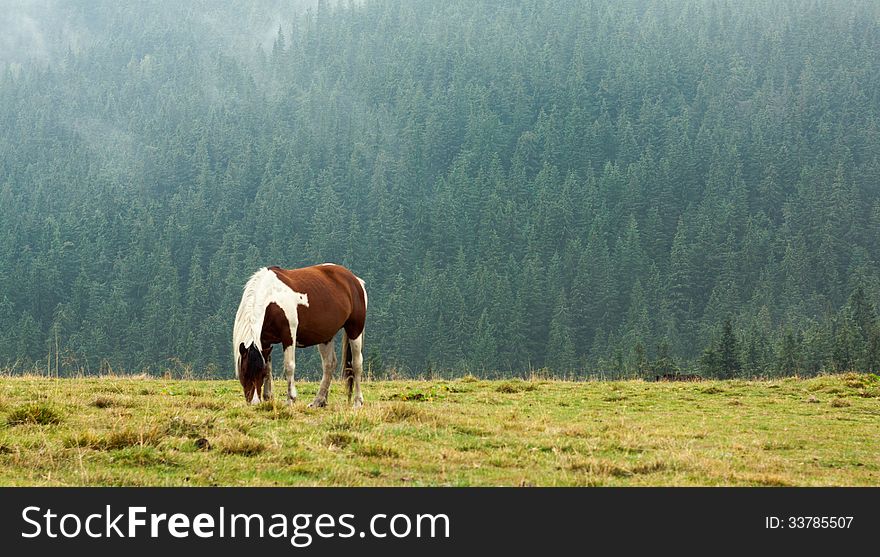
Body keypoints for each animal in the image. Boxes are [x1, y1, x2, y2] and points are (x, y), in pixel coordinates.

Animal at [230, 262, 368, 406]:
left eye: (259, 374)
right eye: (244, 373)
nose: (254, 403)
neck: (271, 298)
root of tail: (355, 280)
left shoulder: (288, 336)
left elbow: (289, 366)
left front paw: (290, 399)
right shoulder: (265, 341)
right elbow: (268, 367)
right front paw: (268, 397)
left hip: (354, 330)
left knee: (356, 363)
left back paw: (358, 402)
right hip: (325, 336)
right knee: (329, 364)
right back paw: (318, 401)